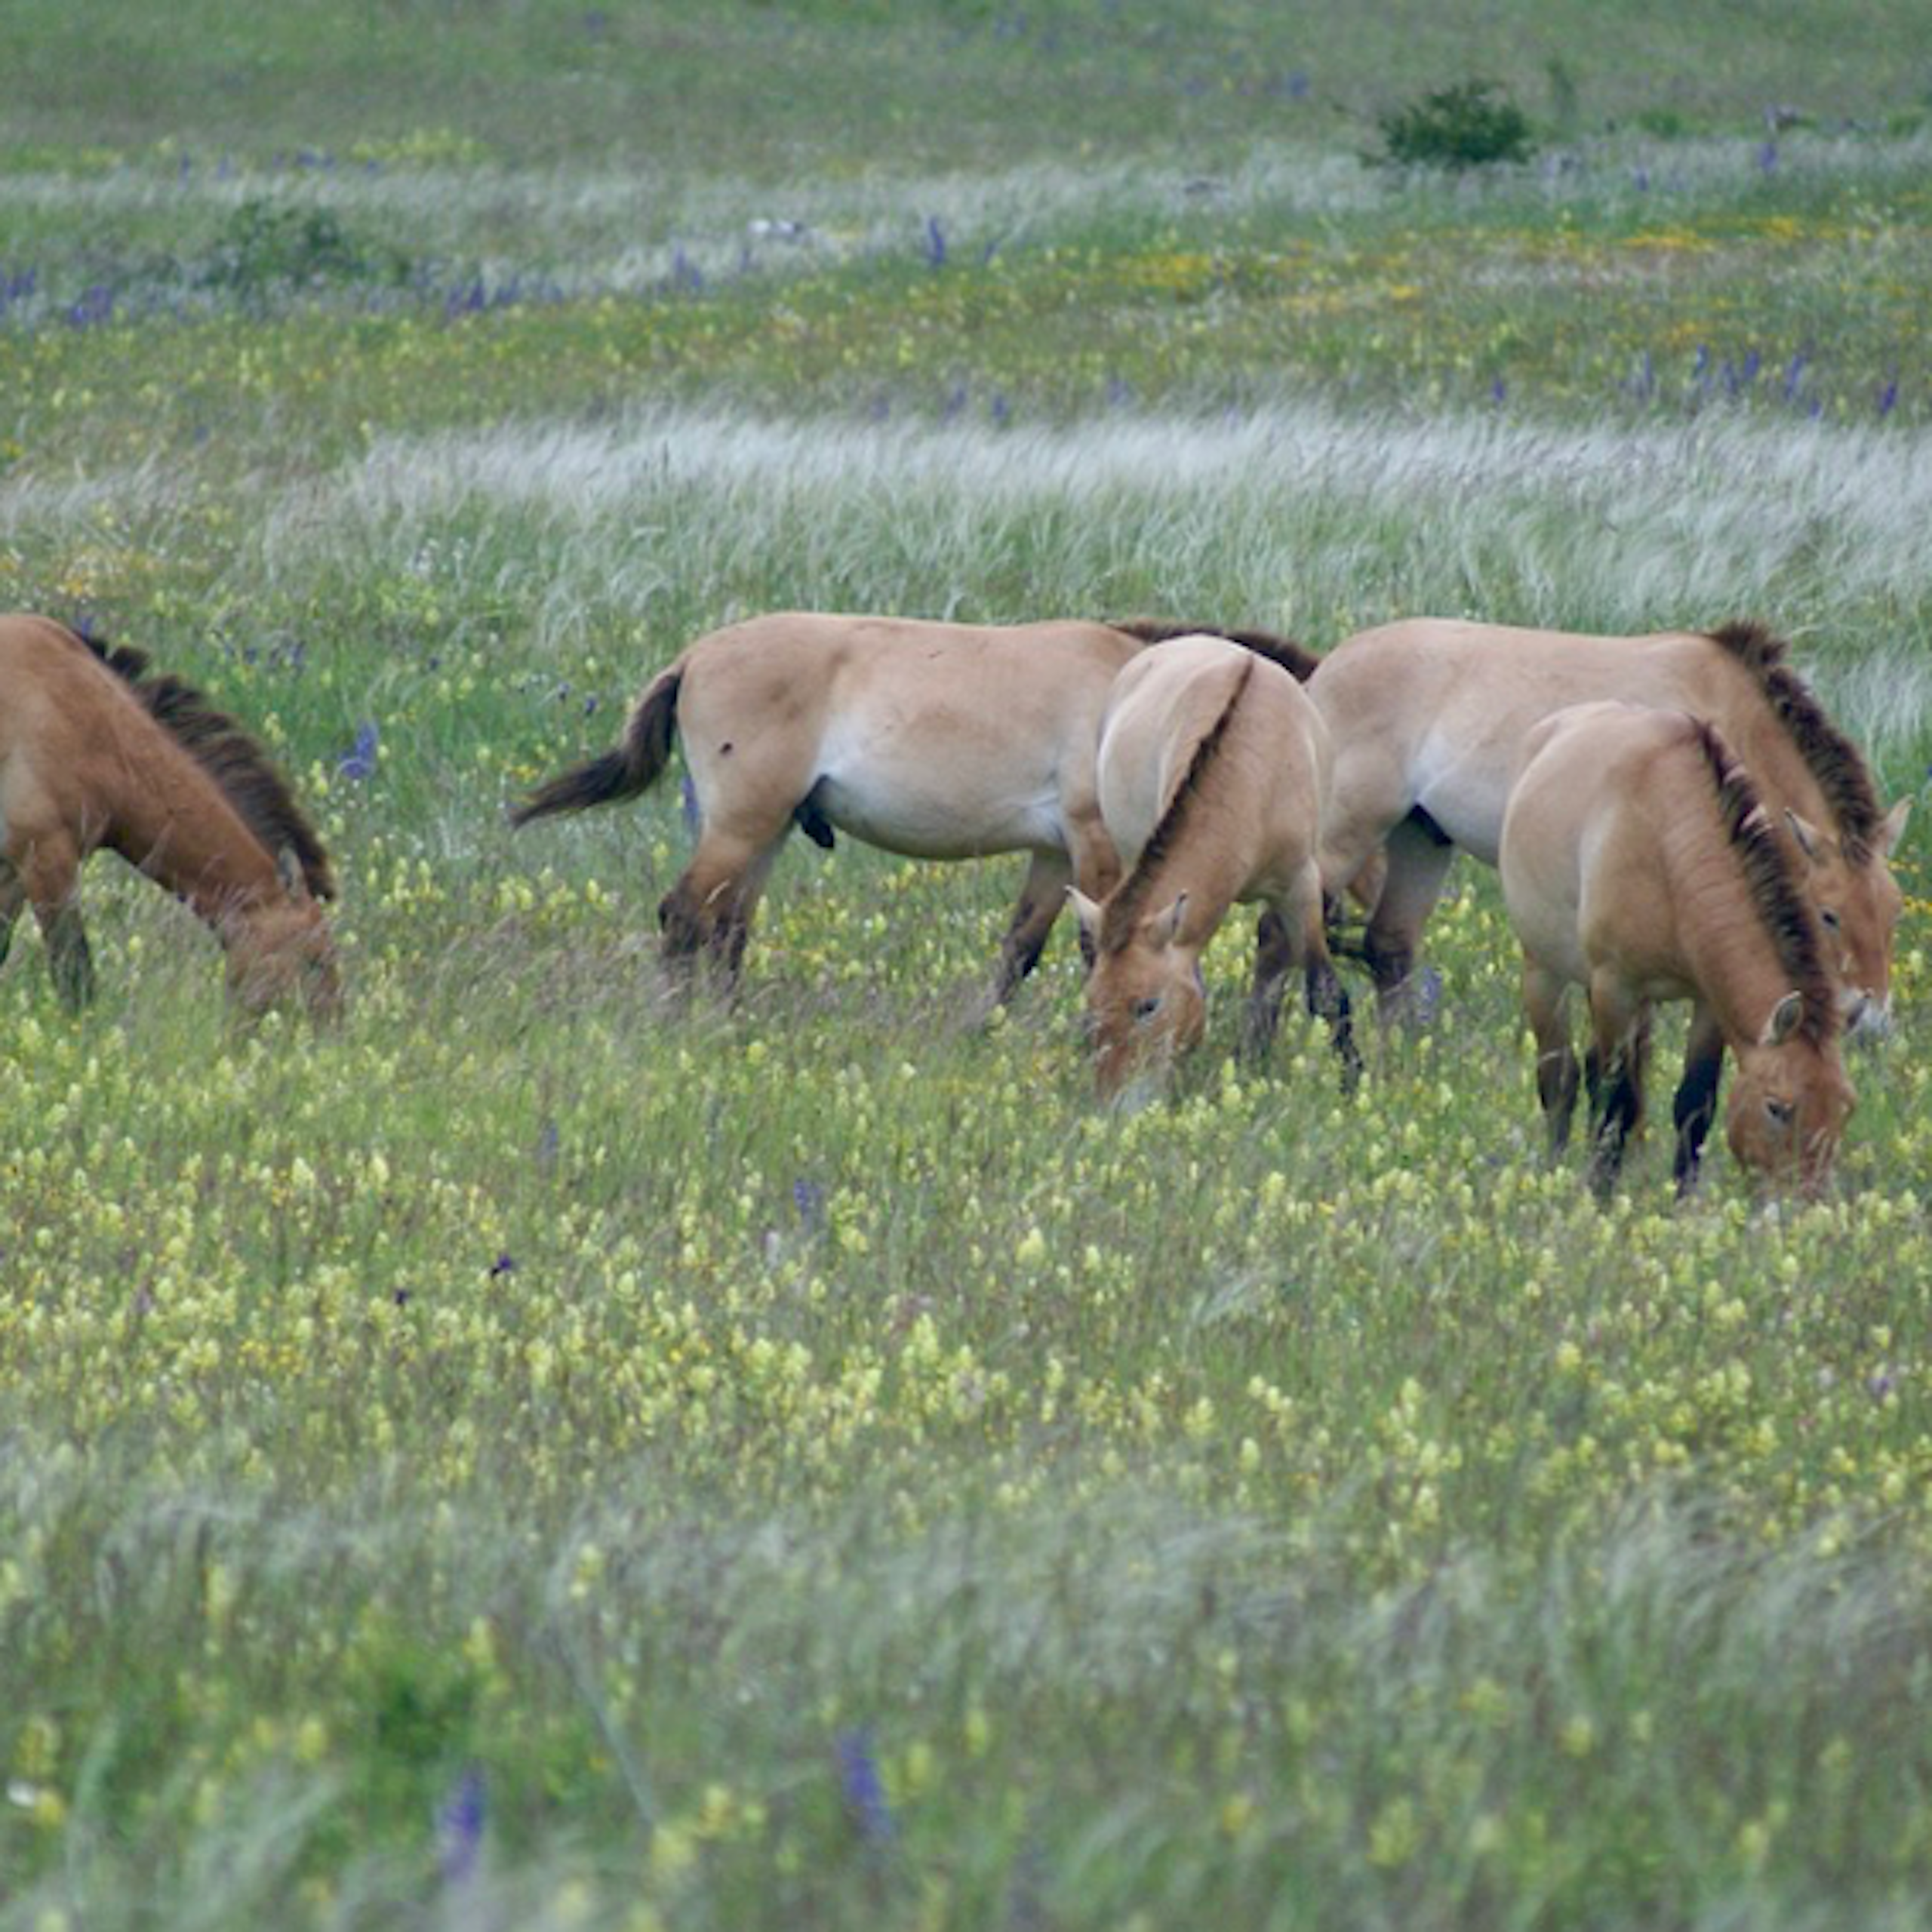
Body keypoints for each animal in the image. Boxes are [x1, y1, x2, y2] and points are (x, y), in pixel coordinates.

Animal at [1058, 637, 1360, 1105]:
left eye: (1148, 1006)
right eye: (1091, 1004)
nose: (1114, 1104)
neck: (1256, 774)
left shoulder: (1301, 886)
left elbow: (1325, 992)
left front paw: (1353, 1083)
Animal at [1491, 703, 1854, 1198]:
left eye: (1844, 1109)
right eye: (1777, 1107)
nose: (1806, 1203)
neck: (1667, 844)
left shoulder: (1707, 1003)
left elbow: (1694, 1104)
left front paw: (1683, 1198)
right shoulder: (1616, 988)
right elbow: (1618, 1102)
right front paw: (1599, 1194)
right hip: (1545, 972)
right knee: (1560, 1079)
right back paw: (1556, 1166)